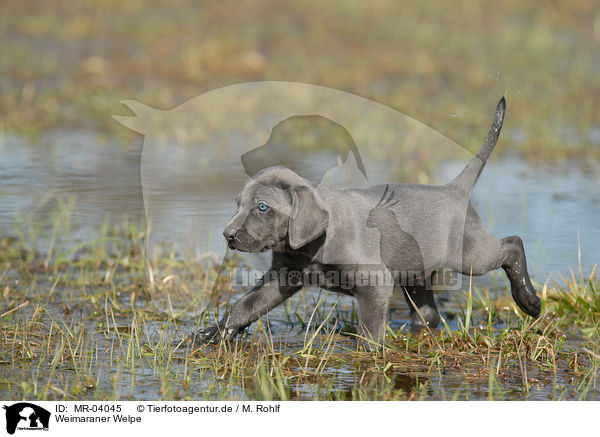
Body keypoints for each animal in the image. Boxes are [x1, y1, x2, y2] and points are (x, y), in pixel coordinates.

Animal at [193, 99, 544, 348]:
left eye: (262, 207)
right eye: (238, 204)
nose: (228, 235)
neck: (313, 245)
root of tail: (454, 189)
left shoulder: (375, 282)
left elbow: (370, 332)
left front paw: (370, 359)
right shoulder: (282, 276)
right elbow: (245, 306)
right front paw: (213, 334)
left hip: (468, 256)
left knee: (512, 245)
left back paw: (529, 300)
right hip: (415, 273)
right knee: (428, 315)